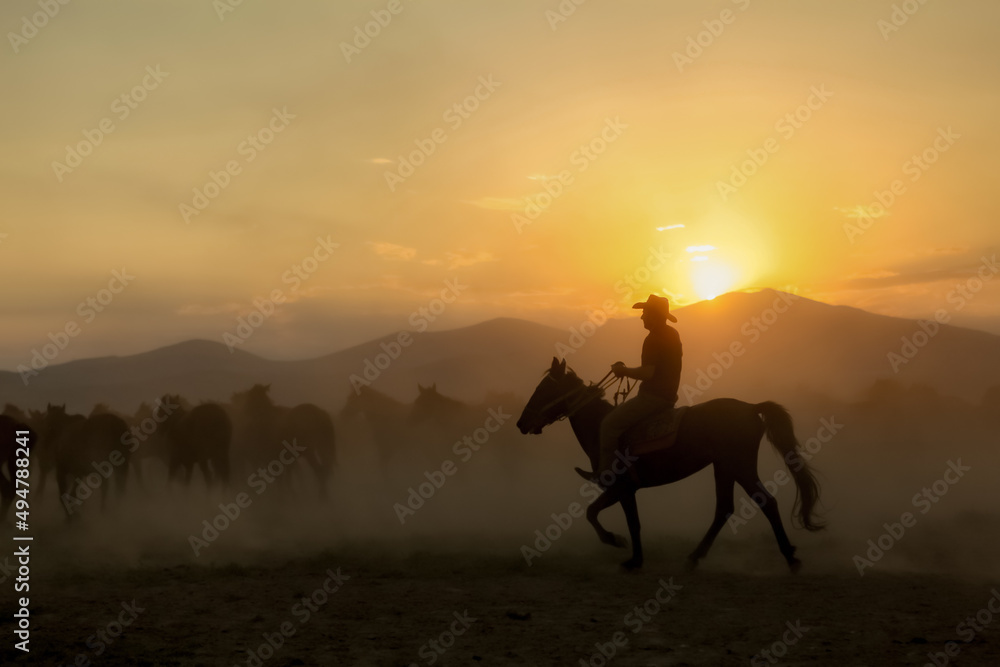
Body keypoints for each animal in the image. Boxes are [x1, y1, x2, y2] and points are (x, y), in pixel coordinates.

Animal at [516, 360, 820, 576]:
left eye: (543, 389)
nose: (522, 423)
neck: (600, 426)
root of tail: (750, 407)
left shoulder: (621, 487)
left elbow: (608, 517)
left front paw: (624, 549)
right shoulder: (625, 490)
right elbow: (616, 517)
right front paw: (632, 555)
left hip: (740, 466)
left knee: (766, 503)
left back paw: (790, 557)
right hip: (724, 467)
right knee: (724, 509)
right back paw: (694, 557)